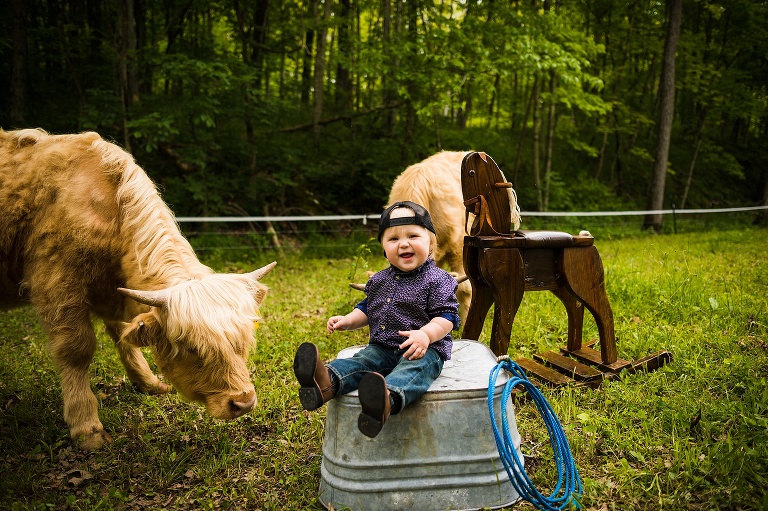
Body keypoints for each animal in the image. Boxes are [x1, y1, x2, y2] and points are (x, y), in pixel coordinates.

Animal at [0, 129, 276, 452]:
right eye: (192, 348)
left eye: (242, 341)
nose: (243, 403)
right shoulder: (56, 280)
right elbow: (77, 349)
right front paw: (87, 427)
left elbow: (124, 335)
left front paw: (149, 383)